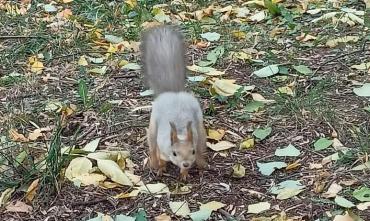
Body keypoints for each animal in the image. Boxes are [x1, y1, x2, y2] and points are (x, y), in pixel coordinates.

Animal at [141, 25, 207, 180]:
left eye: (192, 151)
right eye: (175, 153)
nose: (186, 164)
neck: (181, 131)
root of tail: (173, 93)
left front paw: (184, 174)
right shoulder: (162, 148)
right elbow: (161, 159)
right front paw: (161, 168)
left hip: (200, 130)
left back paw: (201, 164)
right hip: (153, 128)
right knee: (152, 146)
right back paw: (153, 163)